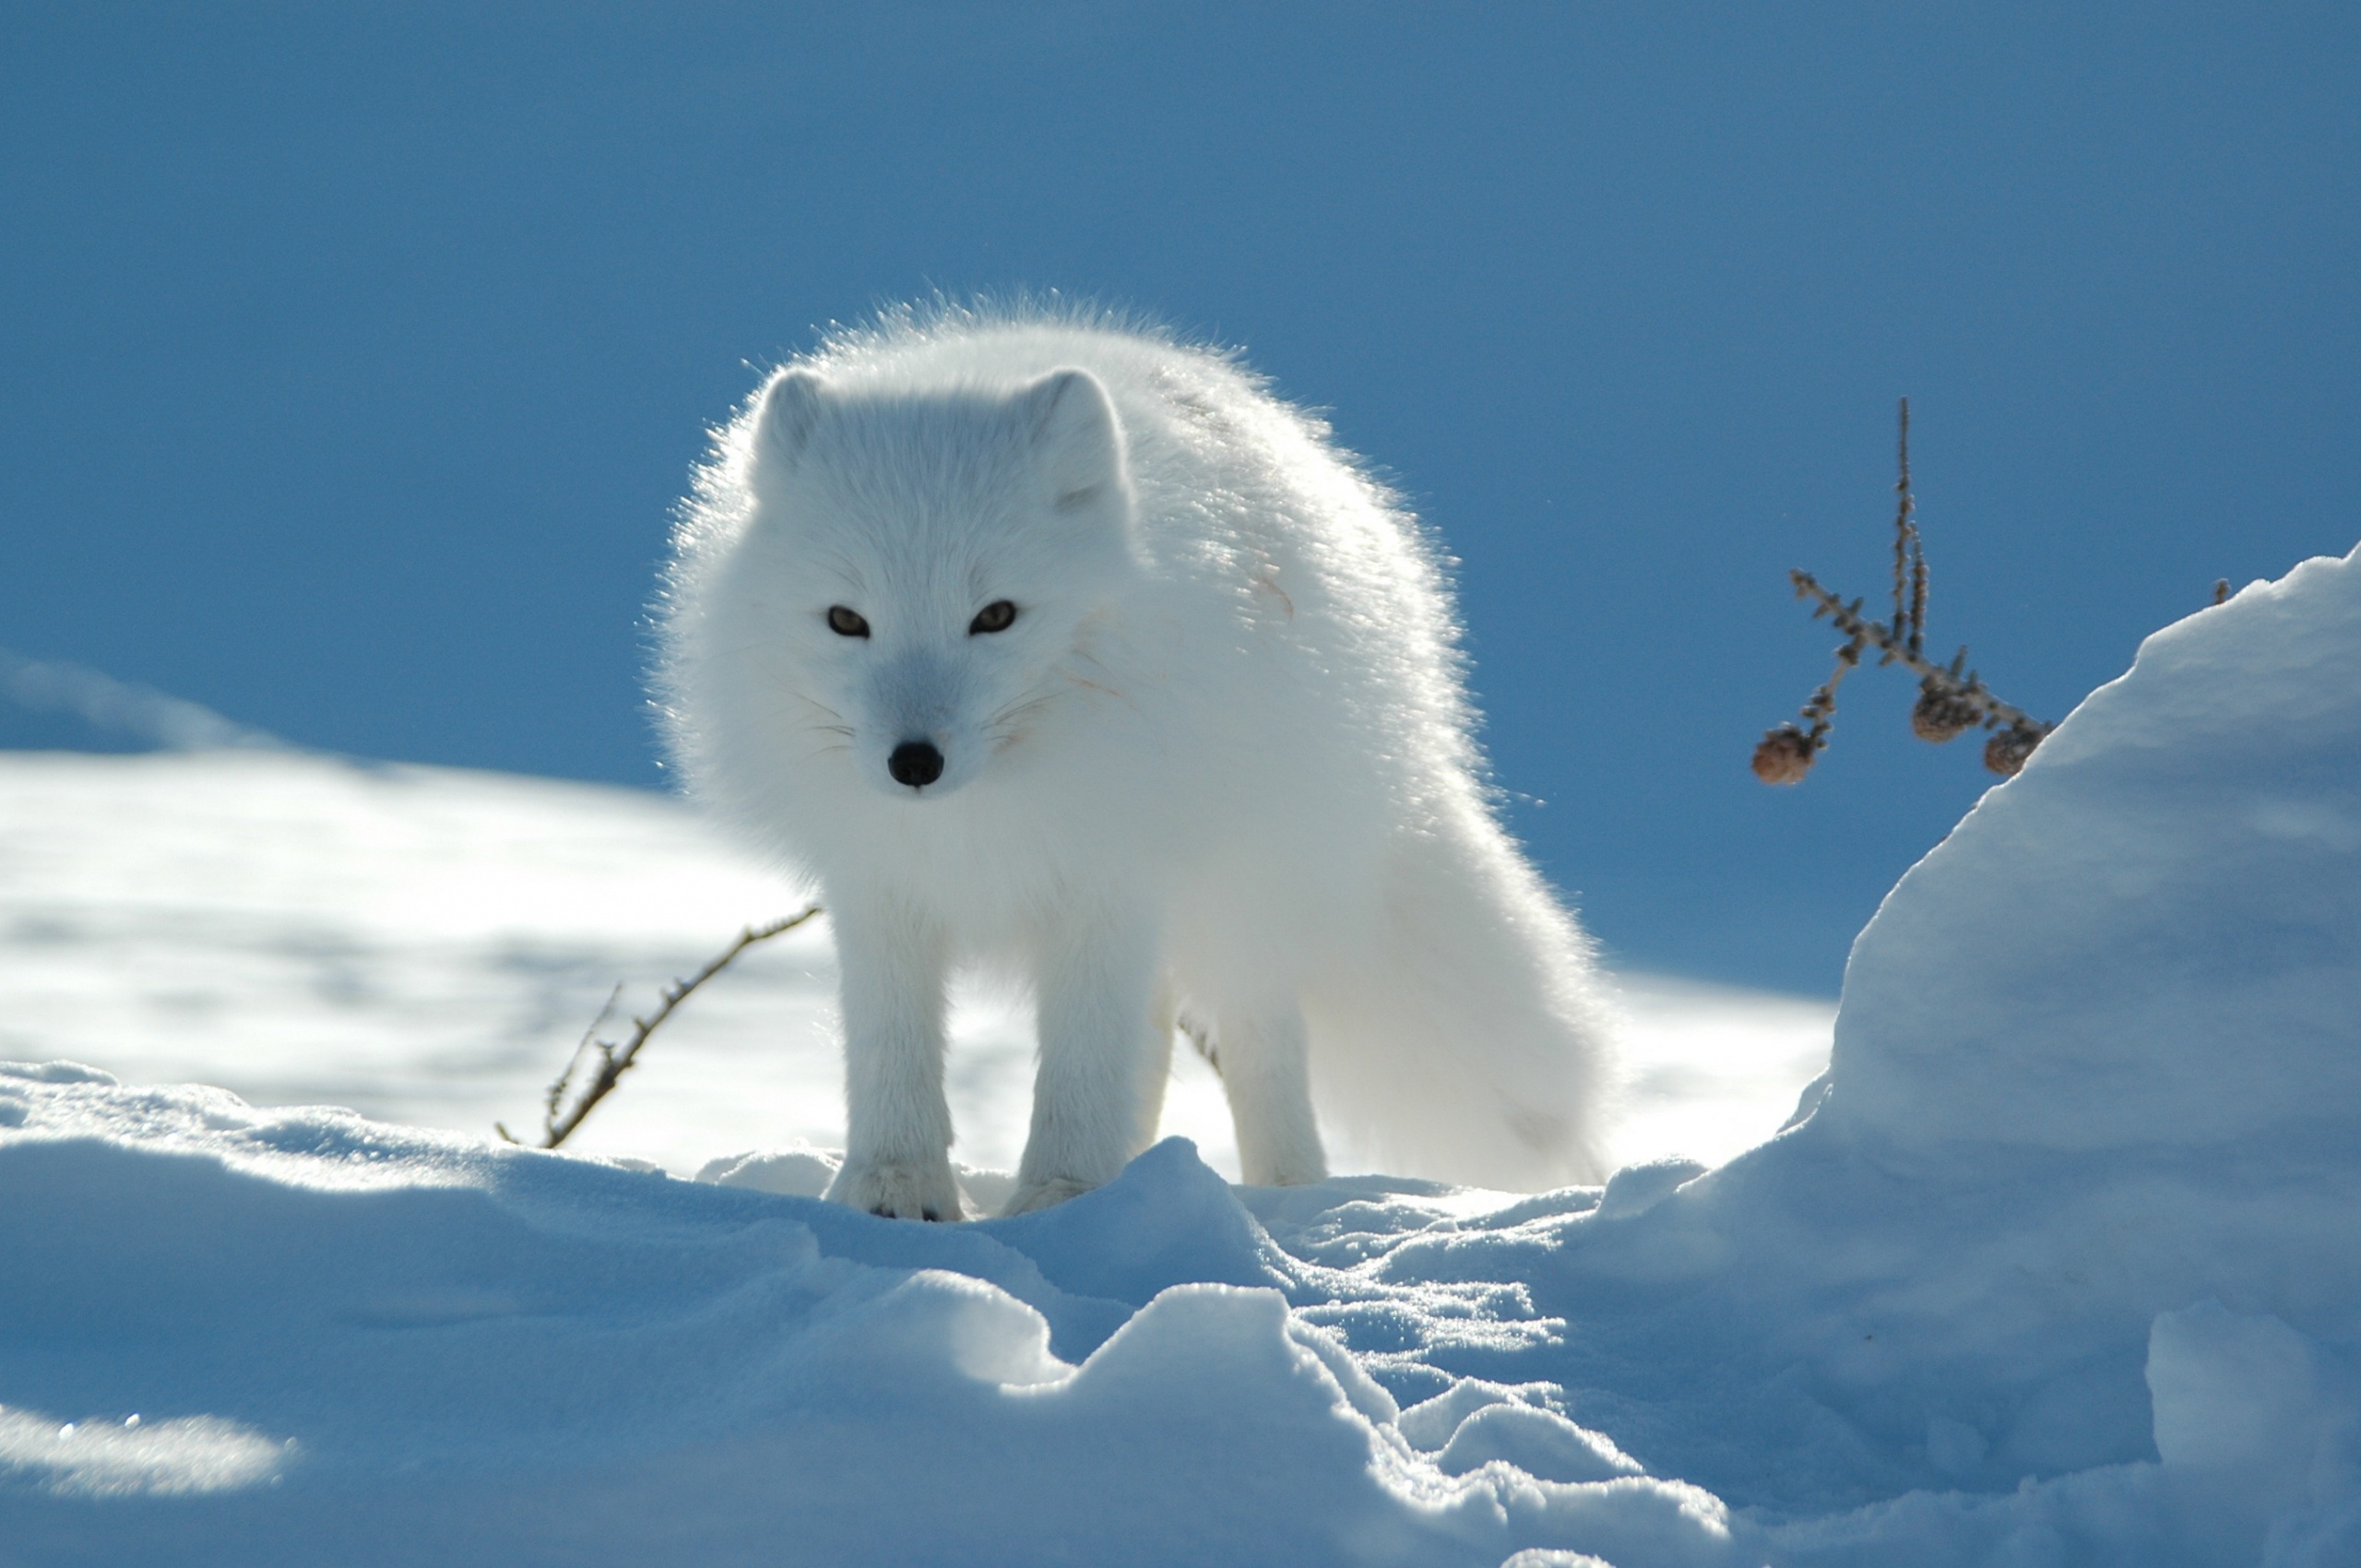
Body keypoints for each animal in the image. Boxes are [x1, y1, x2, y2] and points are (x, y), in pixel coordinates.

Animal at [660, 302, 1624, 1208]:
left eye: (996, 616)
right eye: (846, 620)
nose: (914, 763)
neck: (983, 815)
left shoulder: (1110, 877)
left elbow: (1084, 1064)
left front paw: (1061, 1197)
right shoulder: (879, 884)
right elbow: (891, 1050)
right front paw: (894, 1191)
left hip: (1245, 898)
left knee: (1259, 1046)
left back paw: (1285, 1197)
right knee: (1155, 1043)